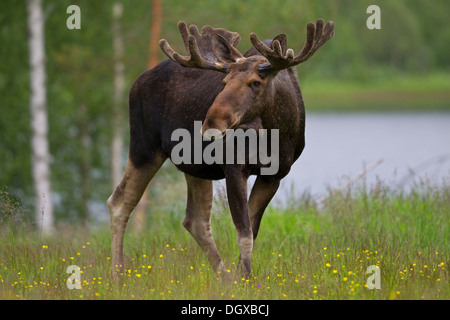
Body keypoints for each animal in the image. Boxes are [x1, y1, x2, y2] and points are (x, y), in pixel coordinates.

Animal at [107, 18, 334, 278]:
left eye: (256, 82)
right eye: (224, 82)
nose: (211, 124)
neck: (277, 135)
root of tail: (135, 83)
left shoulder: (274, 176)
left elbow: (252, 230)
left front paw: (242, 277)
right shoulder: (234, 167)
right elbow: (244, 234)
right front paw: (246, 279)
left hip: (193, 165)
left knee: (195, 220)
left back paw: (224, 278)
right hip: (144, 148)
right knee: (119, 203)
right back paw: (117, 276)